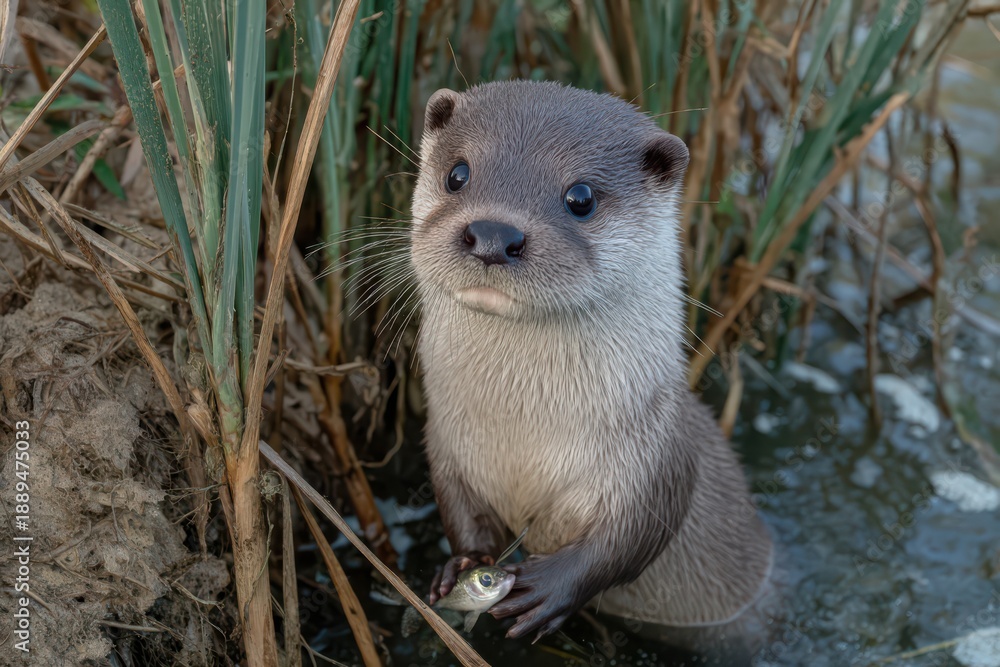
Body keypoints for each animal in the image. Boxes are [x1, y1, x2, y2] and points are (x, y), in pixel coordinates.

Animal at [408, 80, 774, 649]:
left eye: (580, 198)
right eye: (457, 174)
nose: (493, 234)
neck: (522, 434)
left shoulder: (656, 456)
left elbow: (630, 538)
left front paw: (550, 588)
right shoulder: (447, 440)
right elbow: (458, 507)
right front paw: (463, 567)